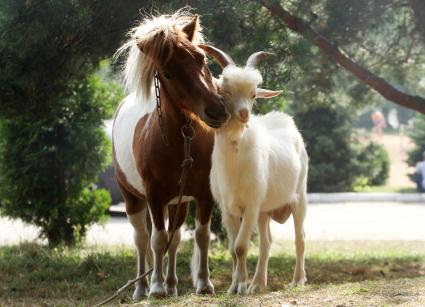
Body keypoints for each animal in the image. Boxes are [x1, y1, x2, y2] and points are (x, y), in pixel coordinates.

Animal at [112, 10, 229, 300]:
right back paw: (142, 288)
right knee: (142, 239)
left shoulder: (203, 195)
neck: (182, 142)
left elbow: (200, 236)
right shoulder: (154, 196)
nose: (216, 110)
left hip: (178, 202)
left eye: (201, 59)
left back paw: (172, 284)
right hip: (133, 199)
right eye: (168, 73)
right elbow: (157, 240)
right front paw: (156, 287)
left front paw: (204, 283)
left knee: (173, 240)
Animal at [200, 45, 306, 296]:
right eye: (225, 92)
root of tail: (286, 121)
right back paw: (258, 283)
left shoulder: (251, 205)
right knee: (266, 242)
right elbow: (233, 248)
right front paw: (235, 285)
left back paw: (298, 280)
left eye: (253, 95)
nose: (244, 114)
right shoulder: (227, 208)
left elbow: (241, 246)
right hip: (264, 211)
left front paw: (240, 286)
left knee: (300, 238)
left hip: (299, 197)